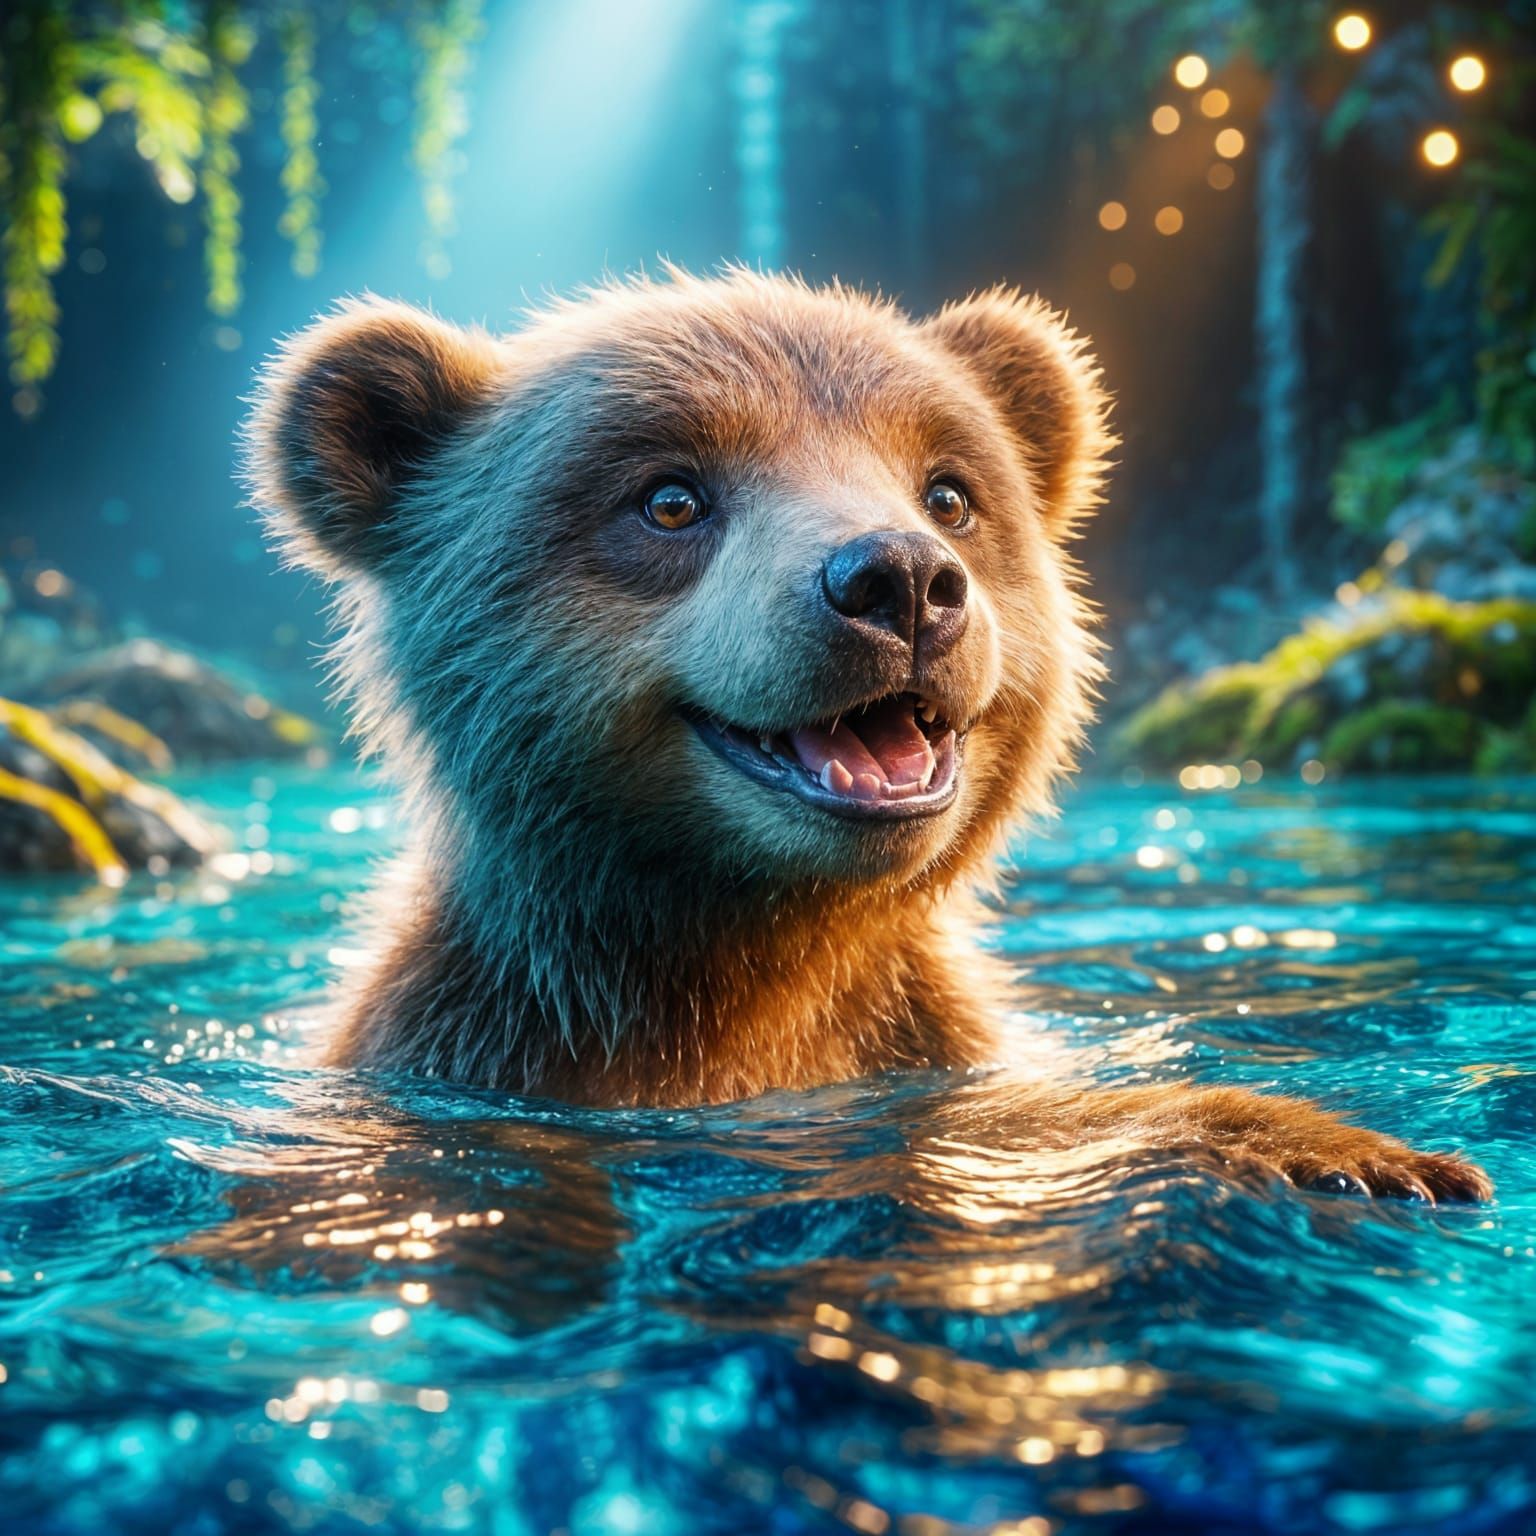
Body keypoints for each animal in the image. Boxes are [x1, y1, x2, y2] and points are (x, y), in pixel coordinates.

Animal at [246, 267, 1488, 1203]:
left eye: (949, 491)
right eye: (669, 497)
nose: (898, 581)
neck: (751, 972)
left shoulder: (925, 1049)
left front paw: (1373, 1157)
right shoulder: (476, 1048)